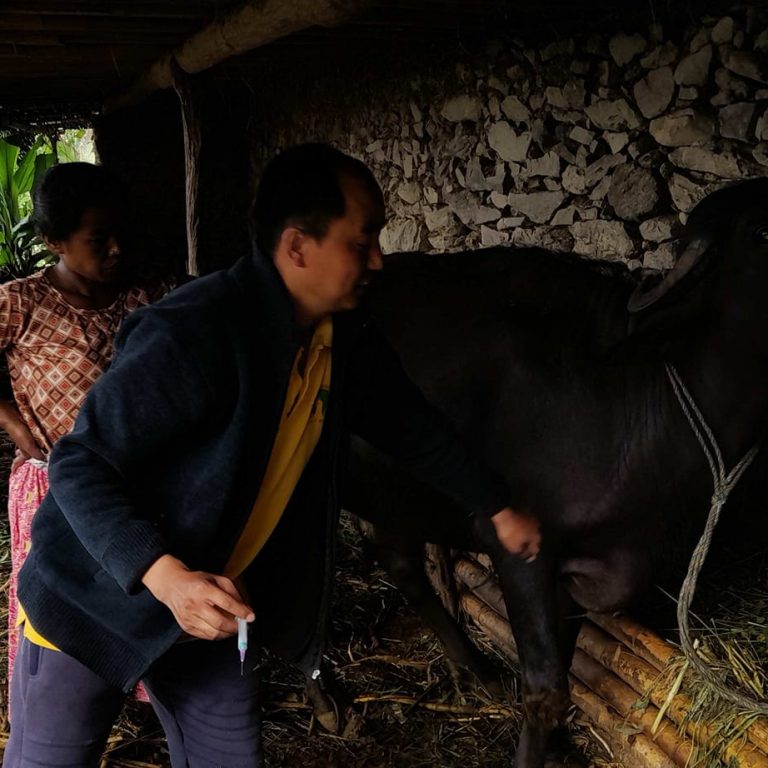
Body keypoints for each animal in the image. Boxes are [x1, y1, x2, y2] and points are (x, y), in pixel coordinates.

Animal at [344, 180, 768, 768]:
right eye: (762, 231)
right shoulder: (519, 553)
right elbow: (546, 690)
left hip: (391, 492)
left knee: (403, 566)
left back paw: (475, 669)